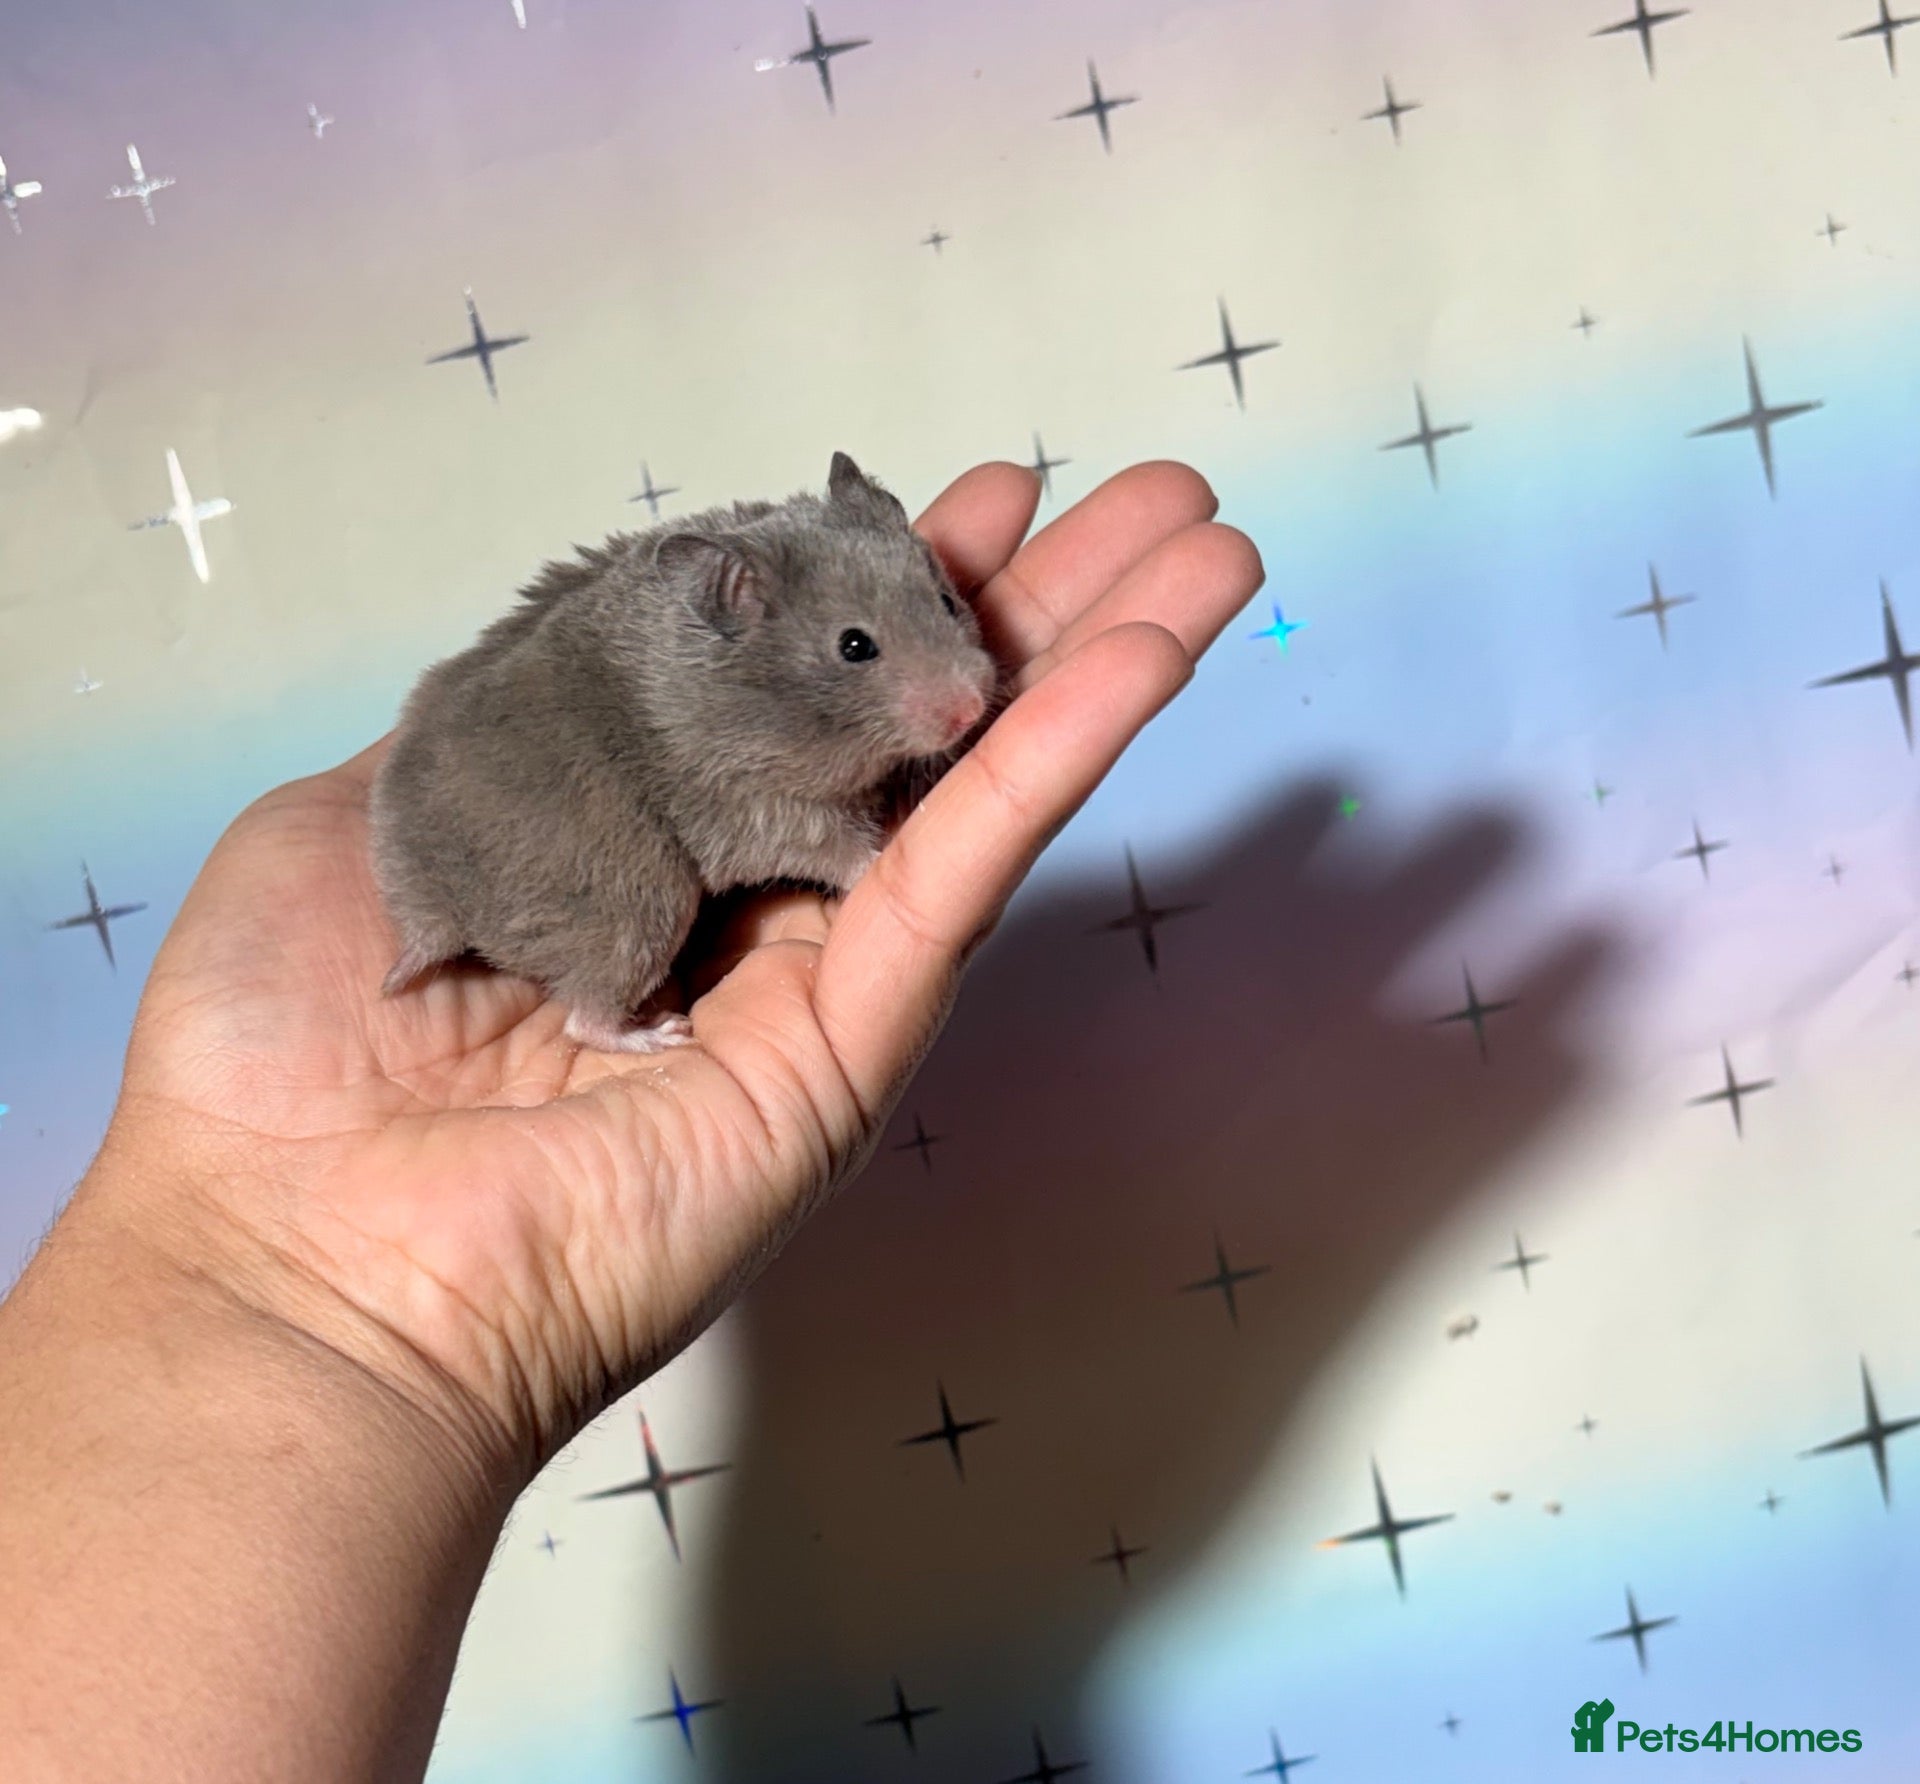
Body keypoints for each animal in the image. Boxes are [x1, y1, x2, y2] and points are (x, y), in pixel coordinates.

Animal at [368, 451, 1001, 1053]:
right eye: (854, 646)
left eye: (946, 601)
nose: (969, 710)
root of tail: (435, 913)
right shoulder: (756, 810)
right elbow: (833, 850)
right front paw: (881, 857)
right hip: (640, 899)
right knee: (584, 1021)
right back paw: (665, 1034)